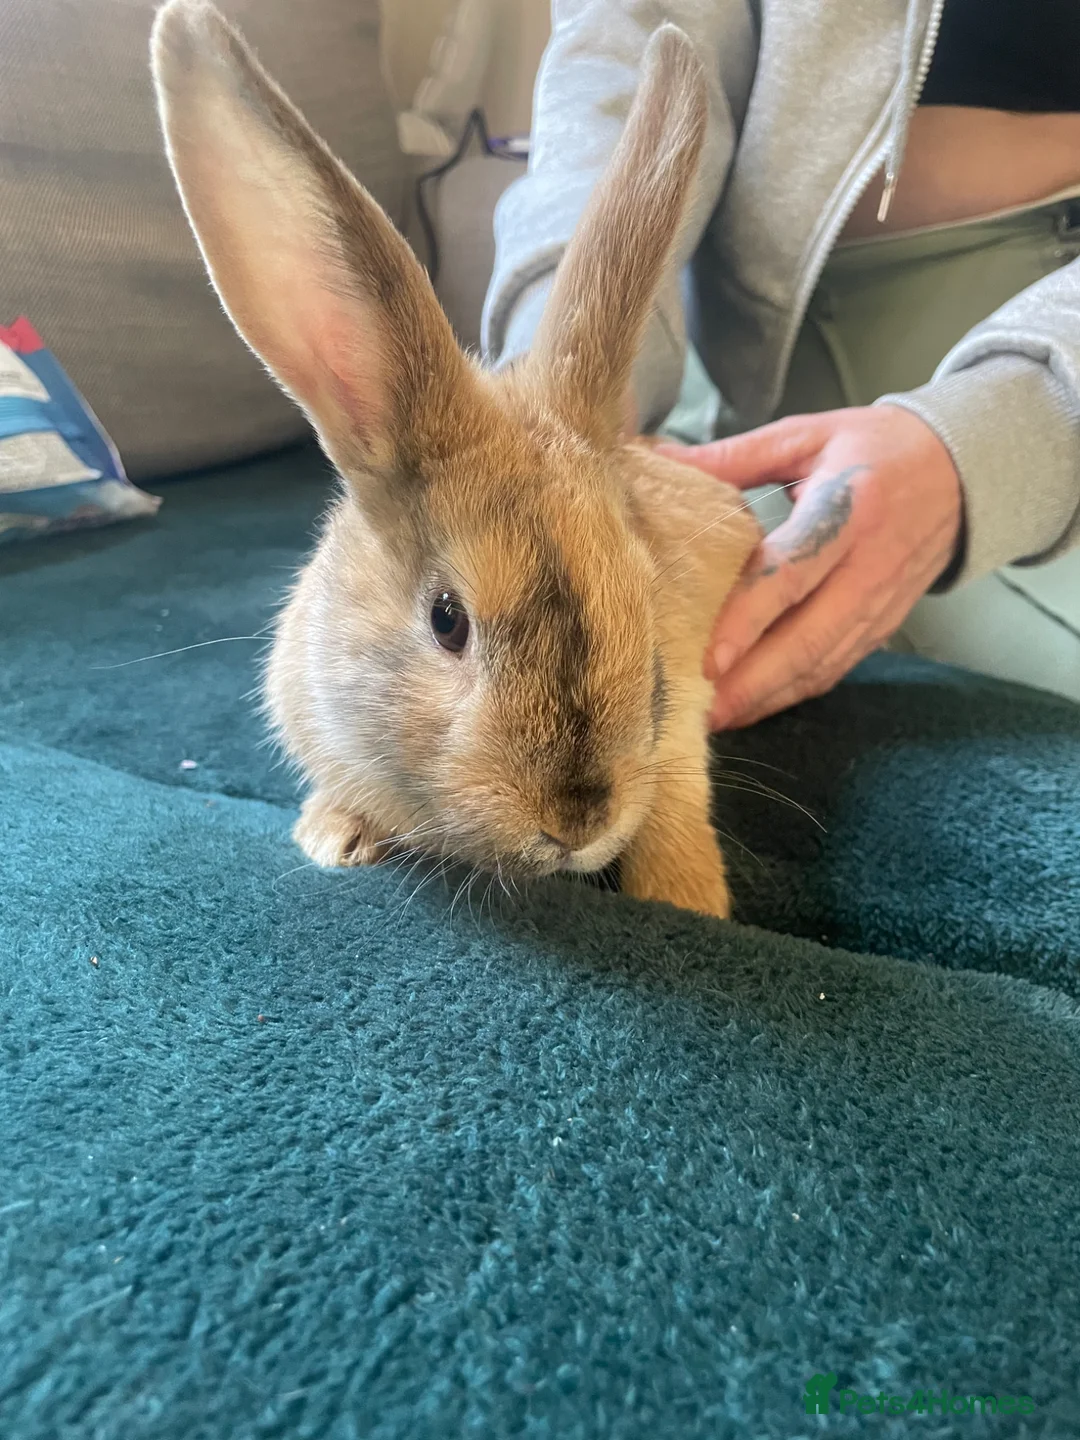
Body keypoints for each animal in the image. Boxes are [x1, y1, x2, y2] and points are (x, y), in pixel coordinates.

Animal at [150, 0, 760, 918]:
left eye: (646, 605)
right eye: (447, 620)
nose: (577, 821)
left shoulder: (682, 712)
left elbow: (678, 802)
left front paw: (686, 899)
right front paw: (335, 838)